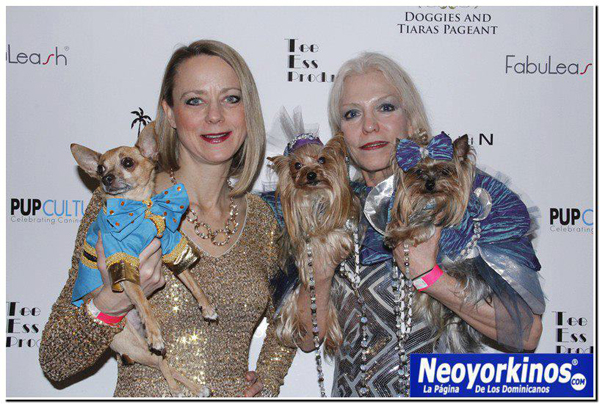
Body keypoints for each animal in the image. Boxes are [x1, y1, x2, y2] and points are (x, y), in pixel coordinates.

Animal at [70, 122, 213, 396]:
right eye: (100, 168)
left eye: (127, 162)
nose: (105, 178)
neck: (137, 209)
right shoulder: (124, 267)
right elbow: (145, 304)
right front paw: (155, 331)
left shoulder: (168, 245)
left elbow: (191, 281)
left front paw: (207, 306)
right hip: (135, 346)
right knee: (161, 362)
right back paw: (175, 388)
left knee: (169, 365)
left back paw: (196, 387)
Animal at [384, 132, 492, 353]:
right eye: (419, 172)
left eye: (445, 170)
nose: (430, 184)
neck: (431, 200)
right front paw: (393, 226)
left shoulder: (432, 224)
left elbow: (418, 229)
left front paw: (396, 235)